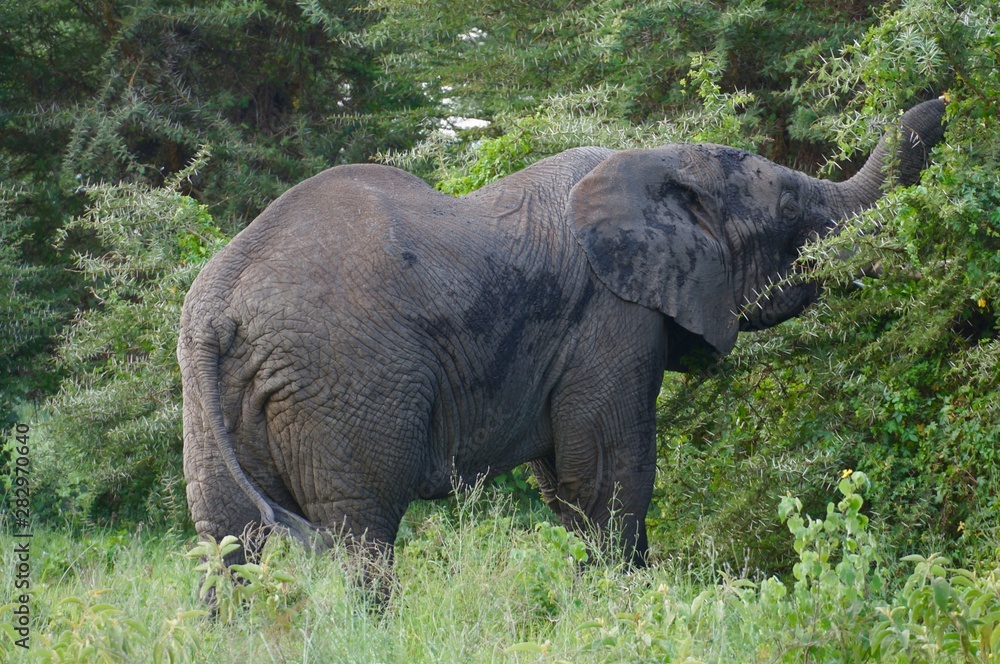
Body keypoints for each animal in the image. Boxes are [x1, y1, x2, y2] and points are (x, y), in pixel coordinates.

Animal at [178, 99, 946, 580]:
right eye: (789, 209)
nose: (940, 95)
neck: (654, 164)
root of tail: (223, 308)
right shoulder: (613, 320)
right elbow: (609, 478)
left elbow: (568, 487)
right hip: (347, 383)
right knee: (356, 532)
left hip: (213, 395)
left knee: (227, 539)